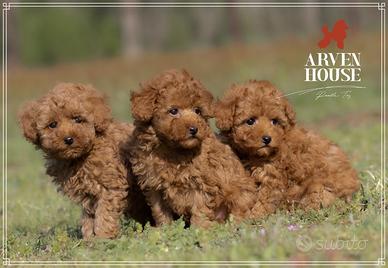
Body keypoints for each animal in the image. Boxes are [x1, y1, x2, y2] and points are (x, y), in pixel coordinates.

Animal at [19, 82, 152, 238]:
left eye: (78, 119)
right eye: (52, 124)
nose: (68, 139)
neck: (81, 157)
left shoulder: (110, 186)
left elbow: (104, 213)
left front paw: (103, 236)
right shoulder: (87, 193)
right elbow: (89, 216)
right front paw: (89, 238)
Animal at [129, 69, 260, 228]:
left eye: (197, 111)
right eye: (173, 111)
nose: (194, 129)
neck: (172, 150)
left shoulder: (203, 184)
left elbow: (200, 210)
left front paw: (199, 230)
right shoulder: (154, 185)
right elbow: (160, 211)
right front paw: (165, 229)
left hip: (241, 193)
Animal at [214, 80, 360, 217]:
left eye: (274, 121)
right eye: (250, 121)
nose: (267, 139)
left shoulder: (272, 177)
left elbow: (263, 199)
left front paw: (253, 216)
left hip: (319, 187)